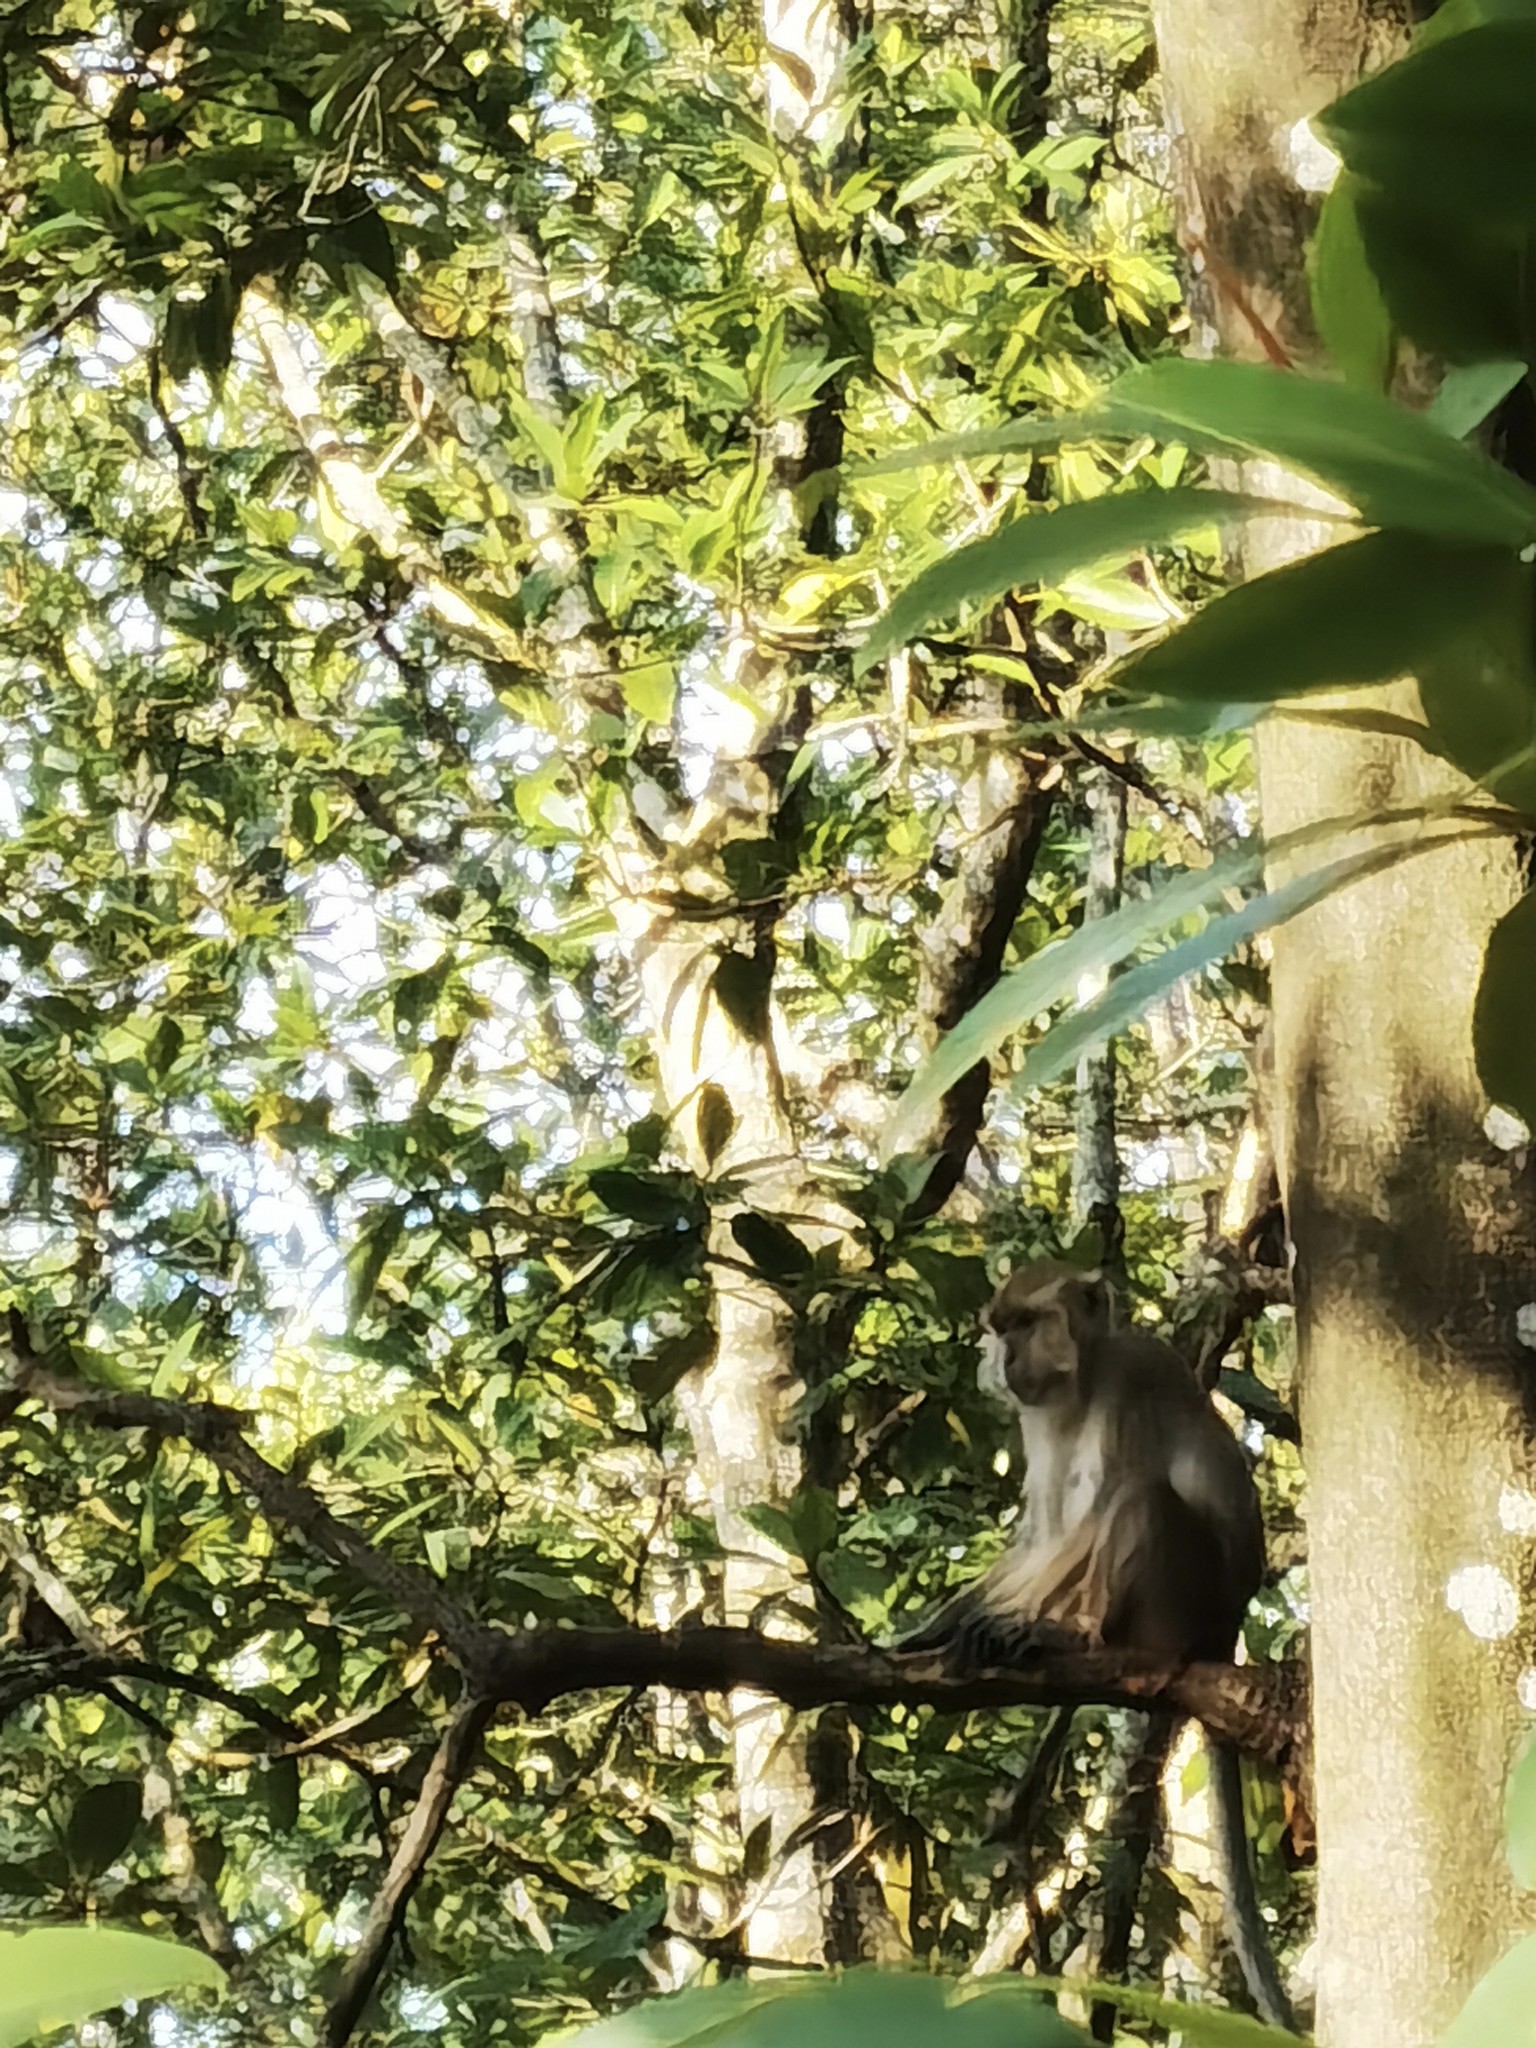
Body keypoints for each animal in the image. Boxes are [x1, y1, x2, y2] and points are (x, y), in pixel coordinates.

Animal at [909, 1261, 1302, 2031]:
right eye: (999, 1327)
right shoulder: (1036, 1421)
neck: (1077, 1385)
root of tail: (1224, 1635)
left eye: (1029, 1323)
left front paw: (1023, 1627)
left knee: (1140, 1497)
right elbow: (1042, 1533)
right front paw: (941, 1626)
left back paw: (1073, 1635)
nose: (1003, 1360)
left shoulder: (1132, 1383)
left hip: (1181, 1603)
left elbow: (1097, 1509)